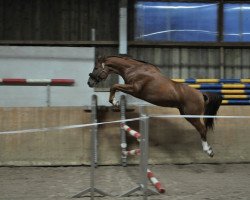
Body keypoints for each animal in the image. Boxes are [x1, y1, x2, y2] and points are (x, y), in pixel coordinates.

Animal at [87, 55, 222, 157]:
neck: (135, 69)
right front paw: (115, 102)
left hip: (192, 116)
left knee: (202, 129)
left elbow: (114, 86)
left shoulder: (134, 88)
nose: (89, 83)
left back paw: (208, 151)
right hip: (186, 114)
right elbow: (114, 87)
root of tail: (201, 94)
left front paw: (115, 102)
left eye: (96, 67)